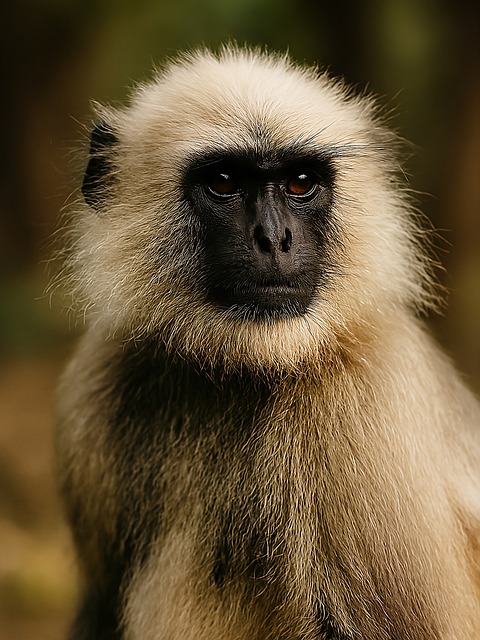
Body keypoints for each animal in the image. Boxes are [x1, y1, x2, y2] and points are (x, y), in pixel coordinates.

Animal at [55, 46, 480, 640]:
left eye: (300, 183)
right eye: (224, 182)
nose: (274, 239)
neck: (240, 373)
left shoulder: (364, 400)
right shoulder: (97, 384)